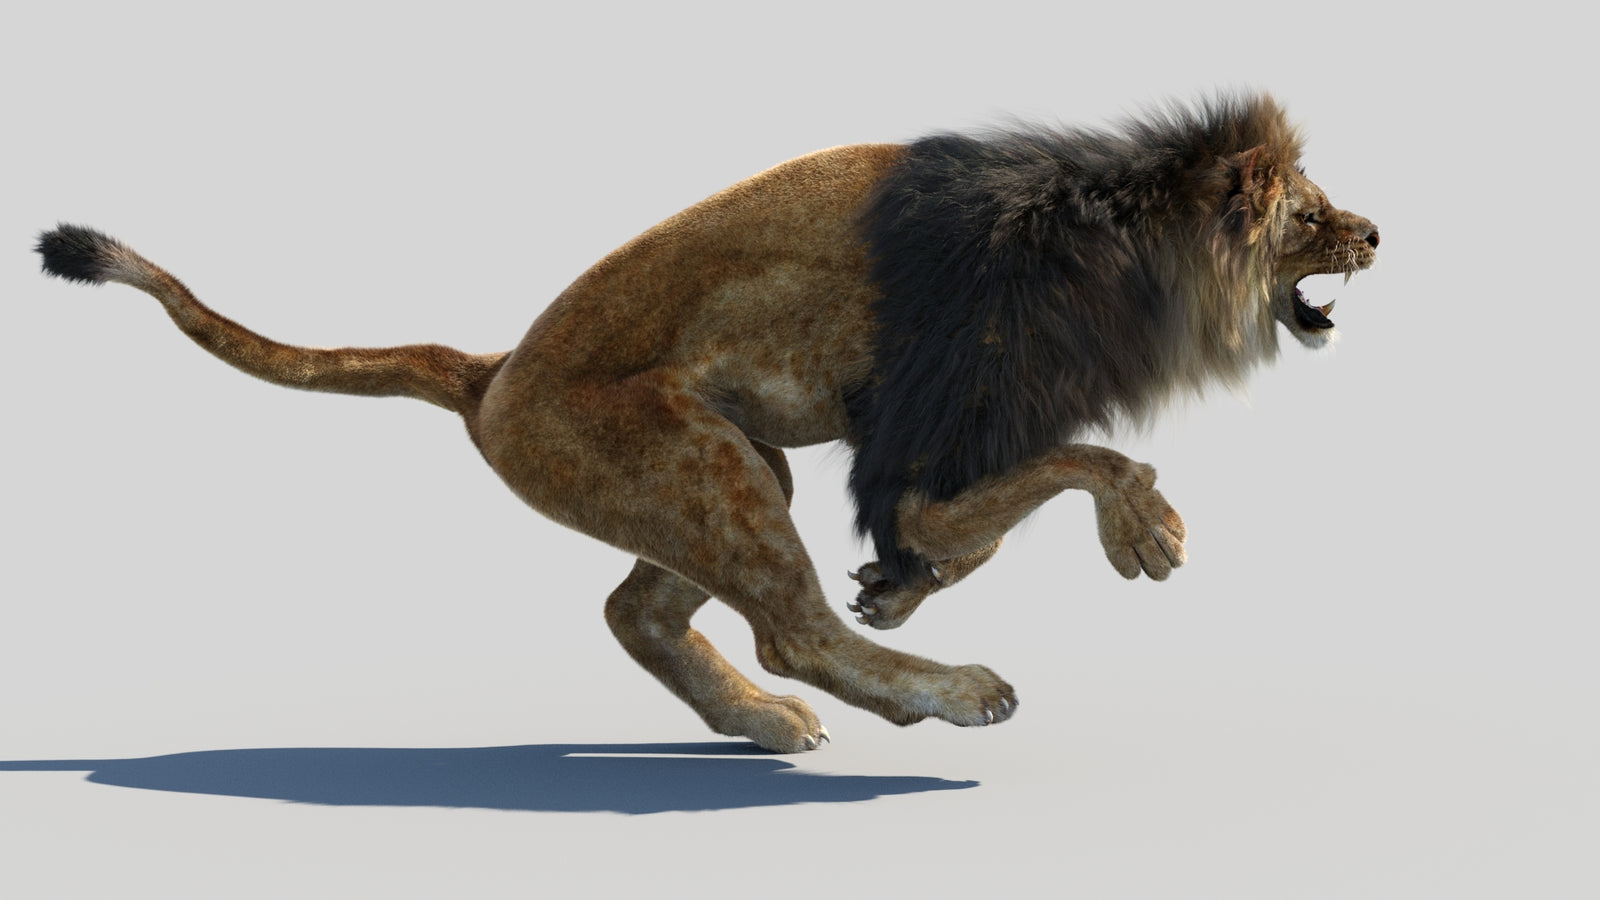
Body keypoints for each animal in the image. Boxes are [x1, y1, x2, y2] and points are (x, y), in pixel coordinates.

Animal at [36, 93, 1377, 753]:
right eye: (1308, 213)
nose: (1374, 231)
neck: (1133, 253)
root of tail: (491, 373)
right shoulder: (927, 432)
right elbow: (1083, 459)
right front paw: (1142, 533)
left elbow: (994, 515)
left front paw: (903, 585)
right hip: (701, 464)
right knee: (787, 632)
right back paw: (943, 694)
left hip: (732, 468)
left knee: (637, 610)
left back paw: (758, 720)